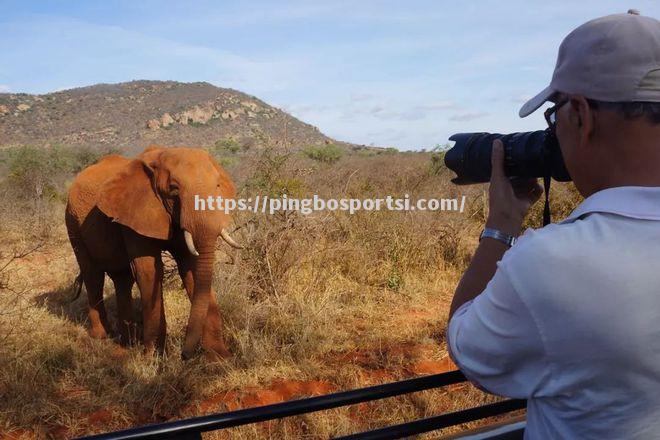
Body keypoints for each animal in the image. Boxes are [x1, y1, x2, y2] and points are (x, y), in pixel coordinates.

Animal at [65, 146, 242, 360]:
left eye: (217, 186)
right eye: (174, 188)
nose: (184, 355)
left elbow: (191, 268)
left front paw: (221, 358)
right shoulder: (134, 214)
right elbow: (148, 270)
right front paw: (152, 357)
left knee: (122, 278)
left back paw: (128, 342)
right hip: (73, 222)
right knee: (93, 275)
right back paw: (102, 337)